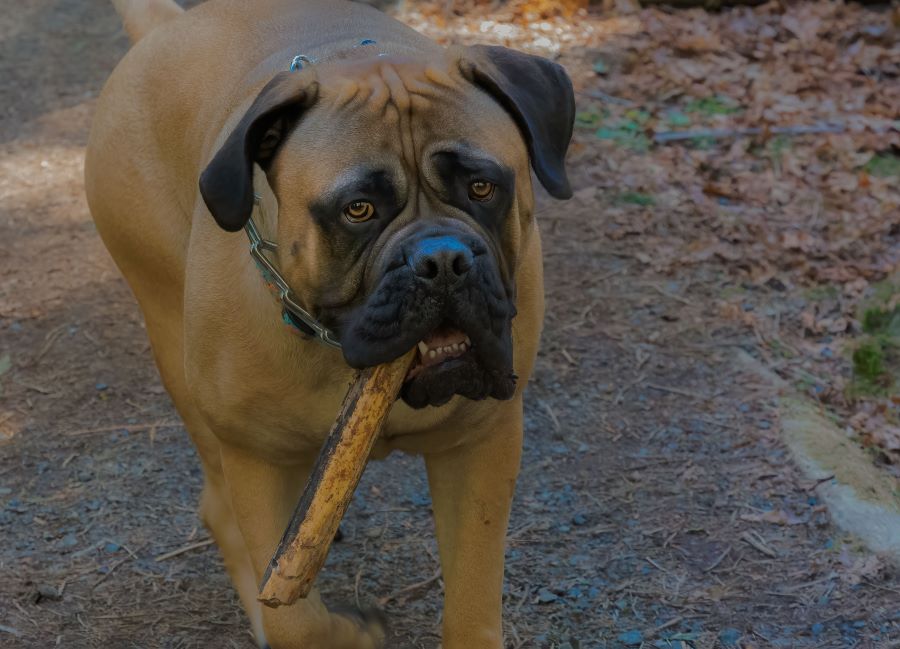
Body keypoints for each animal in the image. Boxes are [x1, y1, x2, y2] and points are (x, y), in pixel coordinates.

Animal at [86, 1, 576, 644]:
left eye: (482, 187)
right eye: (358, 210)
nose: (442, 261)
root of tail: (165, 25)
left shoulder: (481, 447)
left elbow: (472, 599)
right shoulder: (257, 460)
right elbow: (295, 617)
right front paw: (346, 632)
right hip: (176, 347)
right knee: (221, 512)